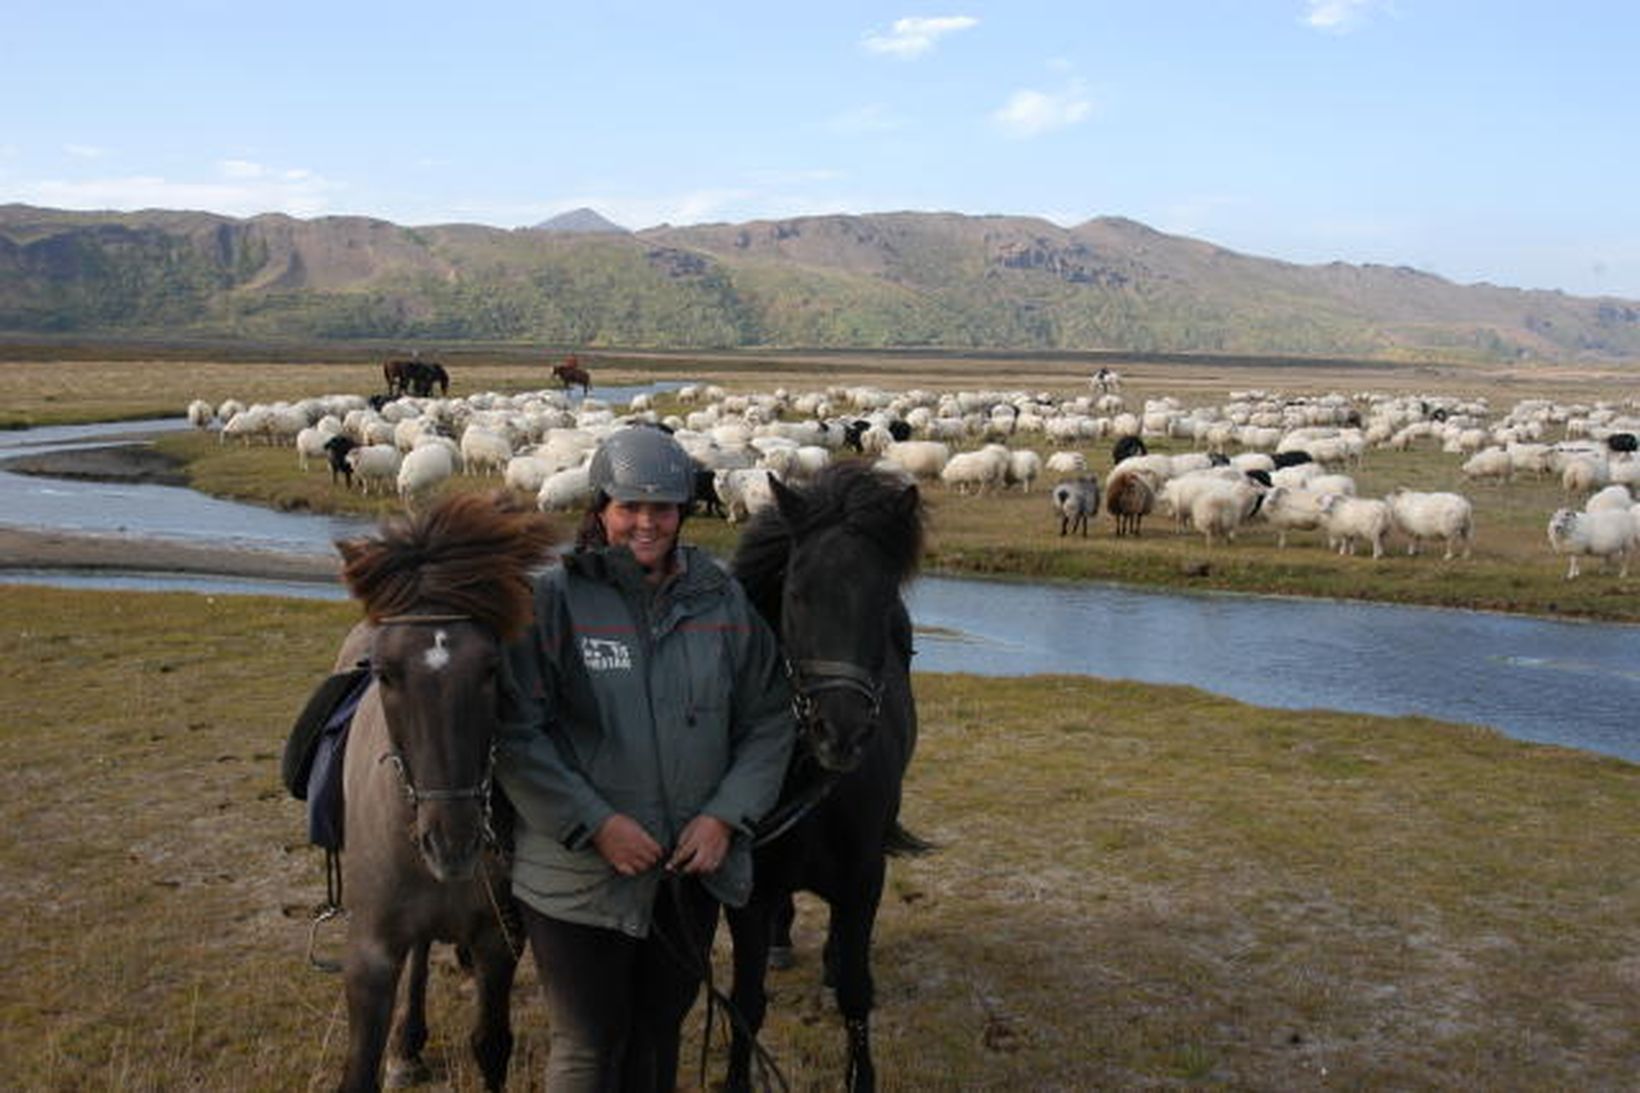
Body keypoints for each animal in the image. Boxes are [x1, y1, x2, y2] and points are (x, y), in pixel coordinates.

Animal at [326, 492, 557, 1089]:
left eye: (493, 667)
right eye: (385, 674)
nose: (453, 843)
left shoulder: (500, 940)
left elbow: (491, 1045)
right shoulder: (371, 955)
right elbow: (359, 1065)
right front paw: (398, 1048)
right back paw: (407, 1046)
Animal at [724, 462, 931, 1089]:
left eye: (882, 599)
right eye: (795, 592)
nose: (839, 732)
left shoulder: (864, 879)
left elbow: (858, 996)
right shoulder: (748, 890)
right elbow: (744, 1003)